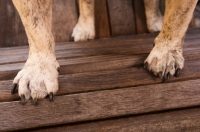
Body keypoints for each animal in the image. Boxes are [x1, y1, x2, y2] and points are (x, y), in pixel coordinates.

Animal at [10, 0, 198, 104]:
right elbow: (36, 28)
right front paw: (38, 72)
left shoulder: (179, 14)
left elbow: (178, 16)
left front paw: (167, 53)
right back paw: (84, 28)